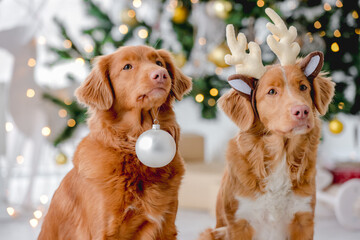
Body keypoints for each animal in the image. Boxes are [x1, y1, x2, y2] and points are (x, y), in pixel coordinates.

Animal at [200, 7, 334, 240]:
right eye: (272, 91)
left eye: (303, 87)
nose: (302, 111)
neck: (280, 155)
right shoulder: (239, 223)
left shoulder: (303, 218)